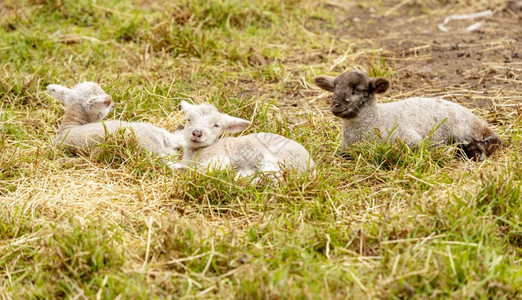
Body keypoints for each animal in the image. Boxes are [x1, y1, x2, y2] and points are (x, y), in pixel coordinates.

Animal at [175, 101, 314, 180]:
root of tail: (311, 167)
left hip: (277, 160)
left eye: (216, 125)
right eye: (188, 119)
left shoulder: (220, 159)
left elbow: (201, 170)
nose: (197, 133)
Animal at [312, 70, 500, 161]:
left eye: (358, 90)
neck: (377, 118)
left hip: (463, 129)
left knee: (485, 146)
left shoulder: (411, 139)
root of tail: (482, 122)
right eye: (334, 88)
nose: (335, 105)